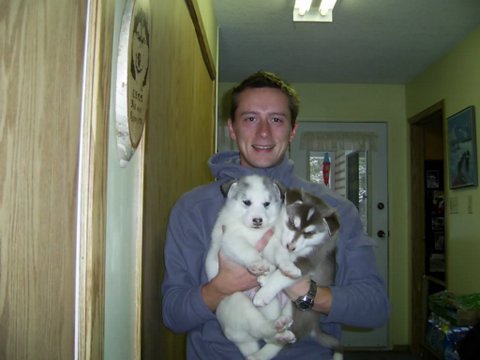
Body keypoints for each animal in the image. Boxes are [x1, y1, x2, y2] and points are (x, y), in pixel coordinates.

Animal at [206, 175, 296, 360]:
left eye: (266, 203)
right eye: (246, 202)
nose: (257, 220)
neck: (253, 232)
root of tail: (243, 342)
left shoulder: (272, 243)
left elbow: (280, 254)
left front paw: (285, 268)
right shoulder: (231, 241)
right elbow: (247, 250)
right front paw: (258, 264)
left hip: (270, 305)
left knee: (268, 336)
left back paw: (282, 332)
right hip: (238, 303)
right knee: (260, 327)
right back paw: (278, 326)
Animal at [253, 188, 344, 360]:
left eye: (310, 233)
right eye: (291, 223)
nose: (290, 246)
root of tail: (314, 324)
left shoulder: (308, 262)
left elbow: (281, 276)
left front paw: (264, 293)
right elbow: (275, 259)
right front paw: (265, 273)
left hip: (294, 315)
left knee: (282, 341)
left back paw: (259, 355)